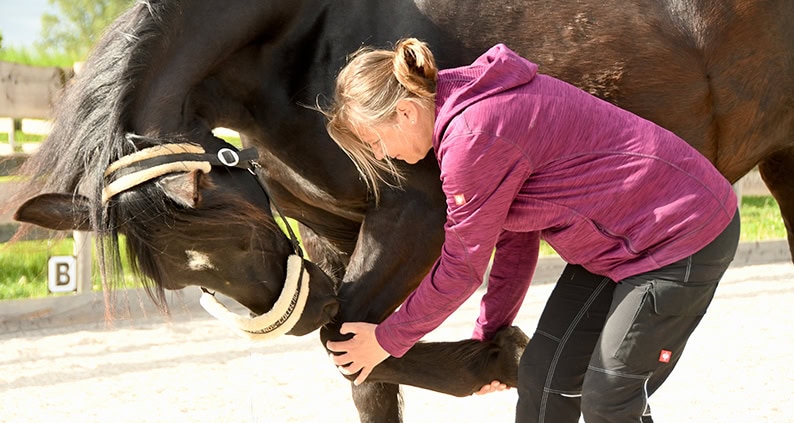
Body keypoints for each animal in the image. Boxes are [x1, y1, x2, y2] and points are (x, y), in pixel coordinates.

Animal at [12, 0, 792, 423]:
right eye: (181, 277)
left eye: (241, 231)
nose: (300, 305)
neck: (301, 33)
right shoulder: (331, 229)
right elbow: (358, 364)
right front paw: (493, 354)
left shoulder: (415, 218)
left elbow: (350, 339)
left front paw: (495, 355)